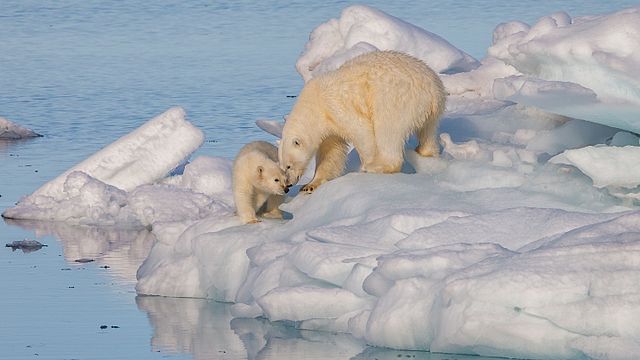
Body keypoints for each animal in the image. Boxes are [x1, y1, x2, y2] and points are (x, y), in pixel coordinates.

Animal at [280, 50, 444, 194]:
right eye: (281, 167)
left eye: (288, 166)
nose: (288, 184)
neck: (315, 105)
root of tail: (433, 91)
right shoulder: (328, 127)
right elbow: (331, 153)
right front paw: (310, 185)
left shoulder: (336, 106)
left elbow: (362, 131)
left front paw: (367, 163)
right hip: (429, 112)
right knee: (428, 132)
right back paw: (425, 152)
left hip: (395, 99)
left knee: (388, 131)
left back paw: (376, 166)